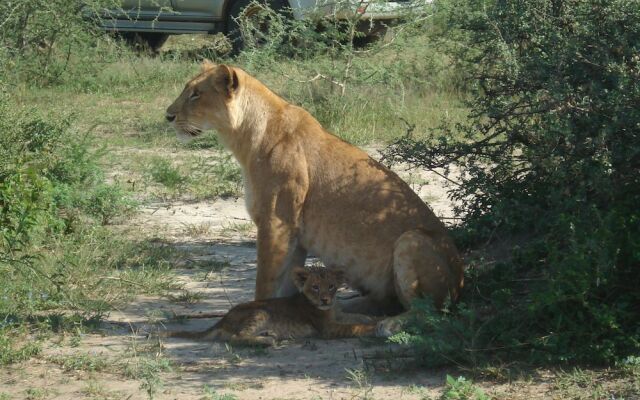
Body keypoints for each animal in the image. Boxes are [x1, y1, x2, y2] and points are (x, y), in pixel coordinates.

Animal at [166, 61, 464, 316]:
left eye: (196, 94)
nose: (168, 116)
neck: (245, 138)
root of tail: (461, 282)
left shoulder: (277, 222)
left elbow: (264, 281)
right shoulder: (294, 233)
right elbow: (286, 283)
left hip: (411, 239)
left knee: (424, 314)